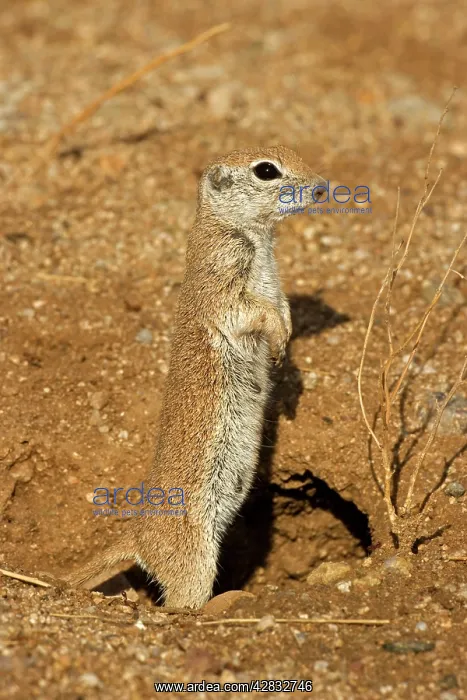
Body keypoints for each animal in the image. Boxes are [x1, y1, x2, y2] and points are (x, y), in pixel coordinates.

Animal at [66, 146, 326, 608]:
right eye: (266, 170)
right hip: (193, 555)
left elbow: (281, 305)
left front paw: (286, 344)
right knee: (181, 602)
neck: (255, 239)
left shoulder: (274, 283)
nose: (321, 188)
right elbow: (253, 311)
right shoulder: (223, 278)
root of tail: (138, 533)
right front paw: (278, 339)